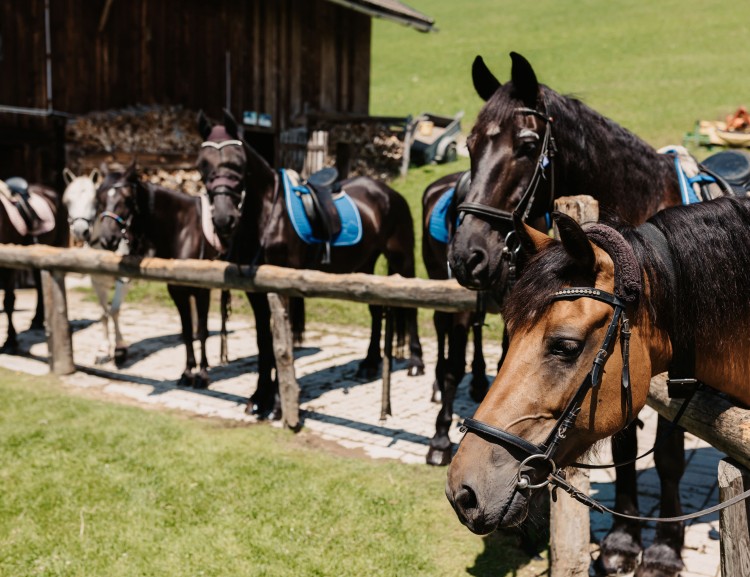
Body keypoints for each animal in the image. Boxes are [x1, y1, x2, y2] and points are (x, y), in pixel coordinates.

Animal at [62, 167, 130, 366]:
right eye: (67, 201)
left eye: (95, 201)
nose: (80, 231)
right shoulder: (97, 281)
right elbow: (103, 313)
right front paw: (103, 349)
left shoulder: (123, 280)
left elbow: (114, 311)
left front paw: (120, 348)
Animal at [96, 166, 225, 389]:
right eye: (101, 198)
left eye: (127, 199)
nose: (107, 239)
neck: (183, 229)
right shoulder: (177, 290)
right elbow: (186, 331)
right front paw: (187, 373)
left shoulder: (202, 290)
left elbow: (202, 331)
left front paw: (202, 375)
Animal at [196, 110, 424, 417]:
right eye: (202, 164)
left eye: (237, 162)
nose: (223, 219)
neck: (268, 214)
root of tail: (389, 193)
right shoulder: (256, 291)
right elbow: (264, 340)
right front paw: (259, 398)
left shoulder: (284, 287)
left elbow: (282, 340)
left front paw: (278, 403)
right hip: (364, 266)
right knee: (377, 311)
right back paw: (369, 363)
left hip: (402, 259)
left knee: (411, 309)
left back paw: (415, 363)